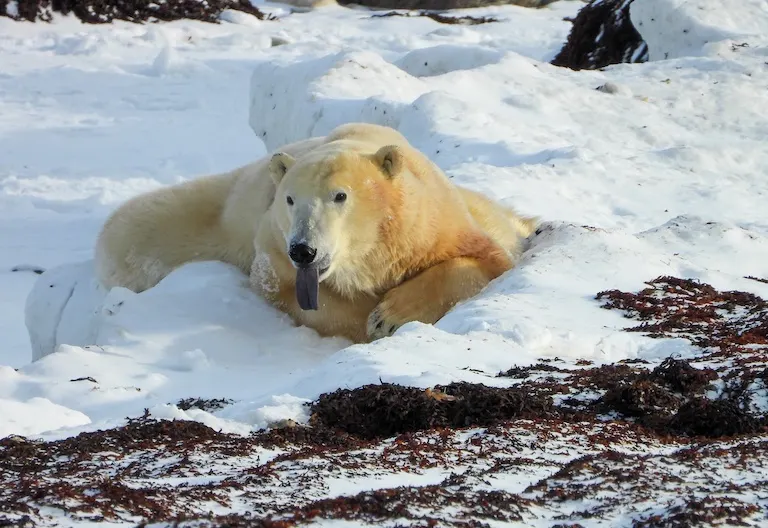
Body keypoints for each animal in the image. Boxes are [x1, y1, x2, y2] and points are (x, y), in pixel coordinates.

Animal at [95, 122, 536, 343]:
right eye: (290, 199)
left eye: (340, 196)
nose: (303, 250)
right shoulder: (271, 248)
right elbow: (295, 296)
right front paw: (369, 319)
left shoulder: (431, 225)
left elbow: (484, 262)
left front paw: (390, 316)